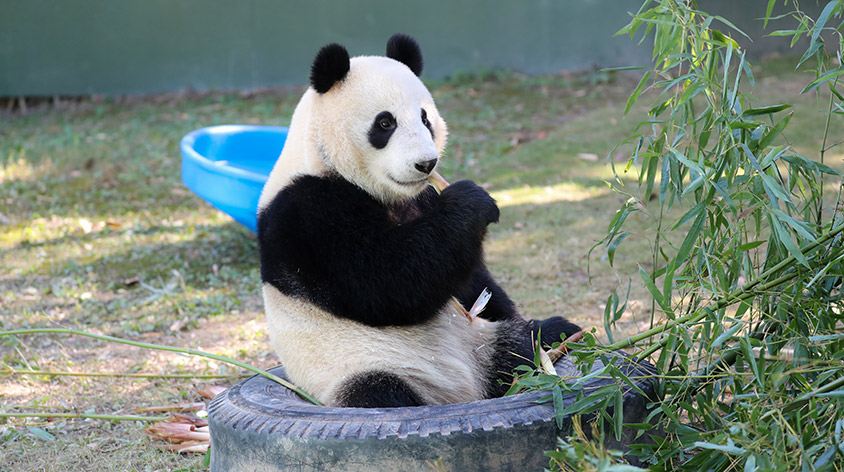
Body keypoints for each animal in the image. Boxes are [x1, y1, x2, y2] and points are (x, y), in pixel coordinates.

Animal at [256, 35, 580, 408]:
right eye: (385, 123)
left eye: (425, 119)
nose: (426, 164)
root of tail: (461, 395)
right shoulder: (306, 213)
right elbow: (386, 281)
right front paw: (473, 201)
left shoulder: (421, 199)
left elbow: (466, 276)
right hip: (361, 368)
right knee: (379, 394)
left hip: (480, 340)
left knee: (520, 345)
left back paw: (557, 335)